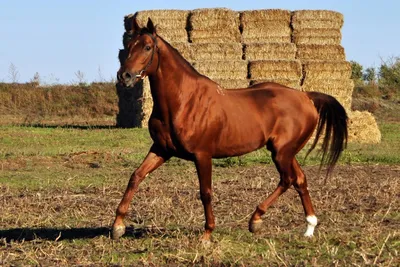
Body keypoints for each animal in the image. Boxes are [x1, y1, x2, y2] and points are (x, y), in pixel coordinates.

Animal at [111, 16, 346, 243]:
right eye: (129, 45)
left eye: (148, 47)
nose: (125, 76)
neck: (183, 101)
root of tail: (306, 96)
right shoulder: (162, 149)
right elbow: (136, 176)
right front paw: (117, 227)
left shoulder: (202, 155)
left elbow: (205, 192)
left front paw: (207, 234)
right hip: (285, 152)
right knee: (300, 179)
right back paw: (309, 227)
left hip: (282, 153)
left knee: (287, 180)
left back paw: (256, 220)